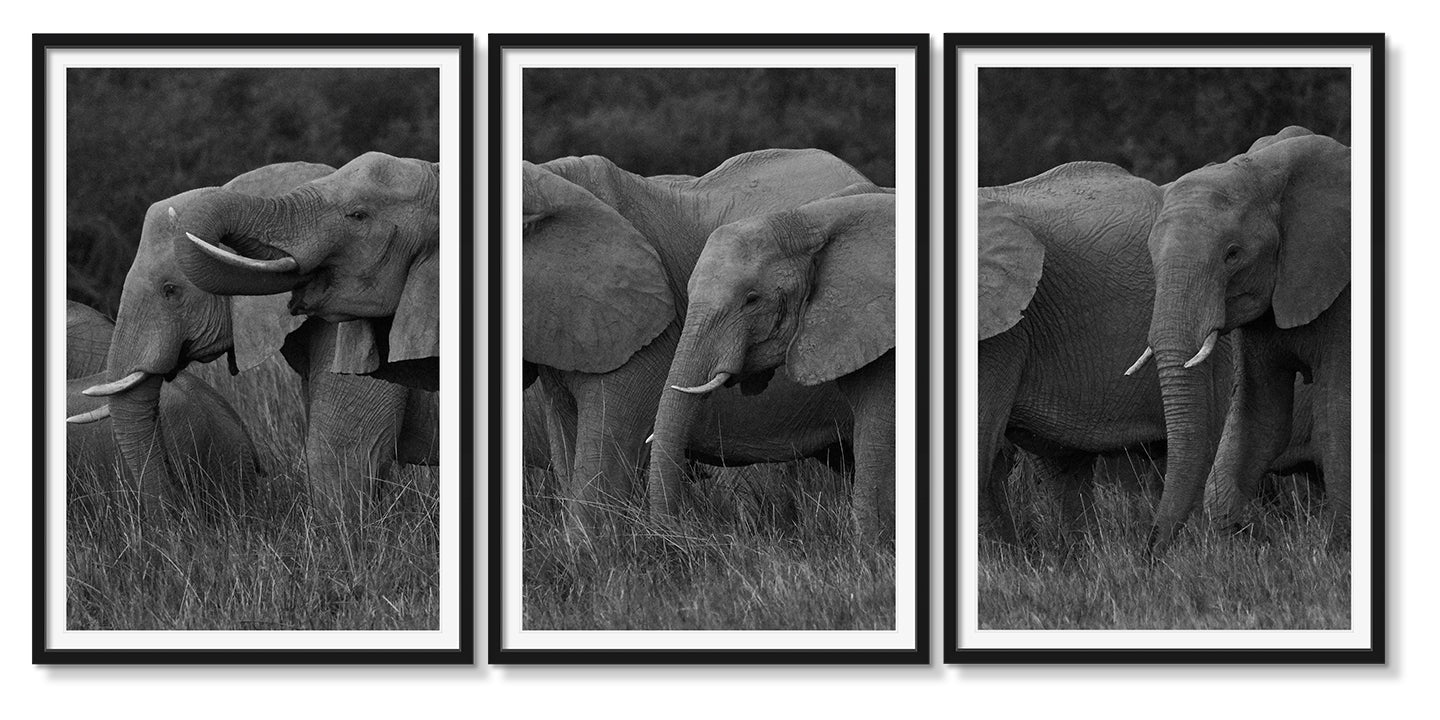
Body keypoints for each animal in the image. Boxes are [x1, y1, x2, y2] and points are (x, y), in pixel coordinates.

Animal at [1133, 126, 1351, 553]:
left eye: (1232, 254)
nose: (1150, 552)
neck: (1265, 171)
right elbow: (1261, 416)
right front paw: (1248, 539)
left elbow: (1338, 412)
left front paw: (1337, 550)